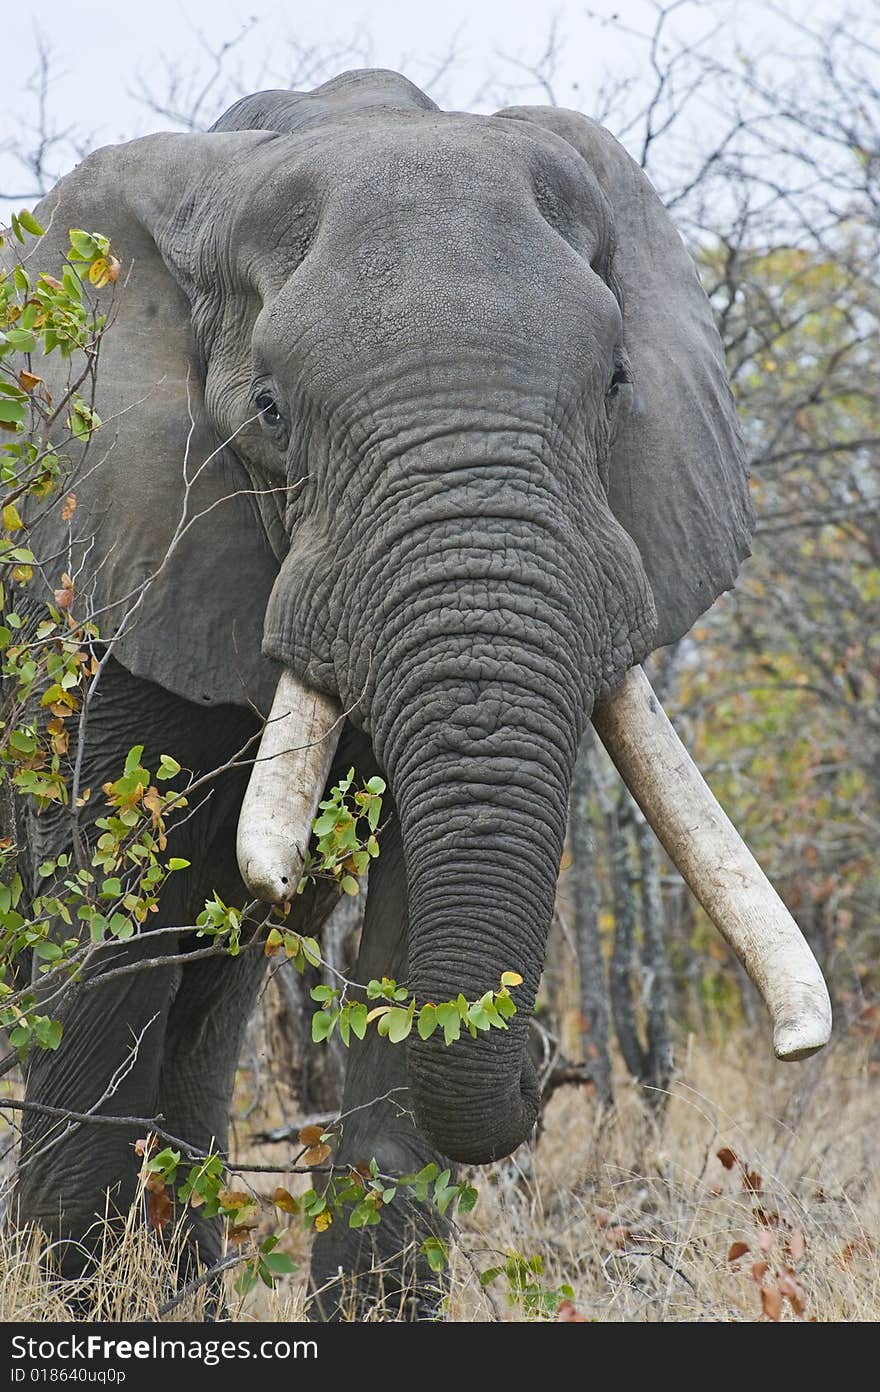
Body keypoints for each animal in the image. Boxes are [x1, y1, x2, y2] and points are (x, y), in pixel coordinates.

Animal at [5, 65, 829, 1319]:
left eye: (617, 383)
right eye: (269, 411)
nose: (545, 1063)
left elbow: (403, 942)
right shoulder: (103, 566)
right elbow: (107, 939)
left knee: (212, 1000)